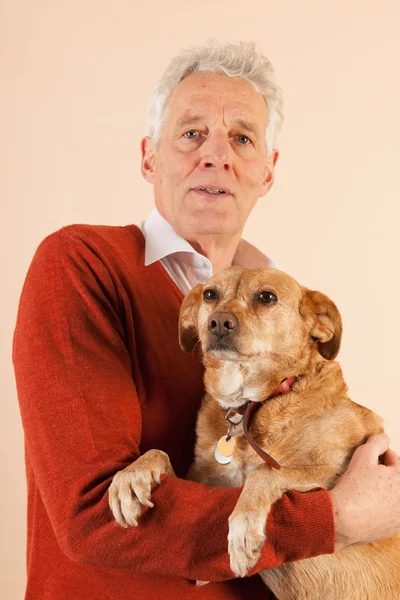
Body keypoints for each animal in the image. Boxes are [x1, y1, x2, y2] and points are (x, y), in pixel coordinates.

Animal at [108, 268, 400, 600]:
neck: (249, 405)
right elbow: (159, 453)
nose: (218, 322)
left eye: (267, 297)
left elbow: (264, 471)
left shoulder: (333, 470)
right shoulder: (205, 485)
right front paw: (130, 477)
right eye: (210, 294)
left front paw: (243, 528)